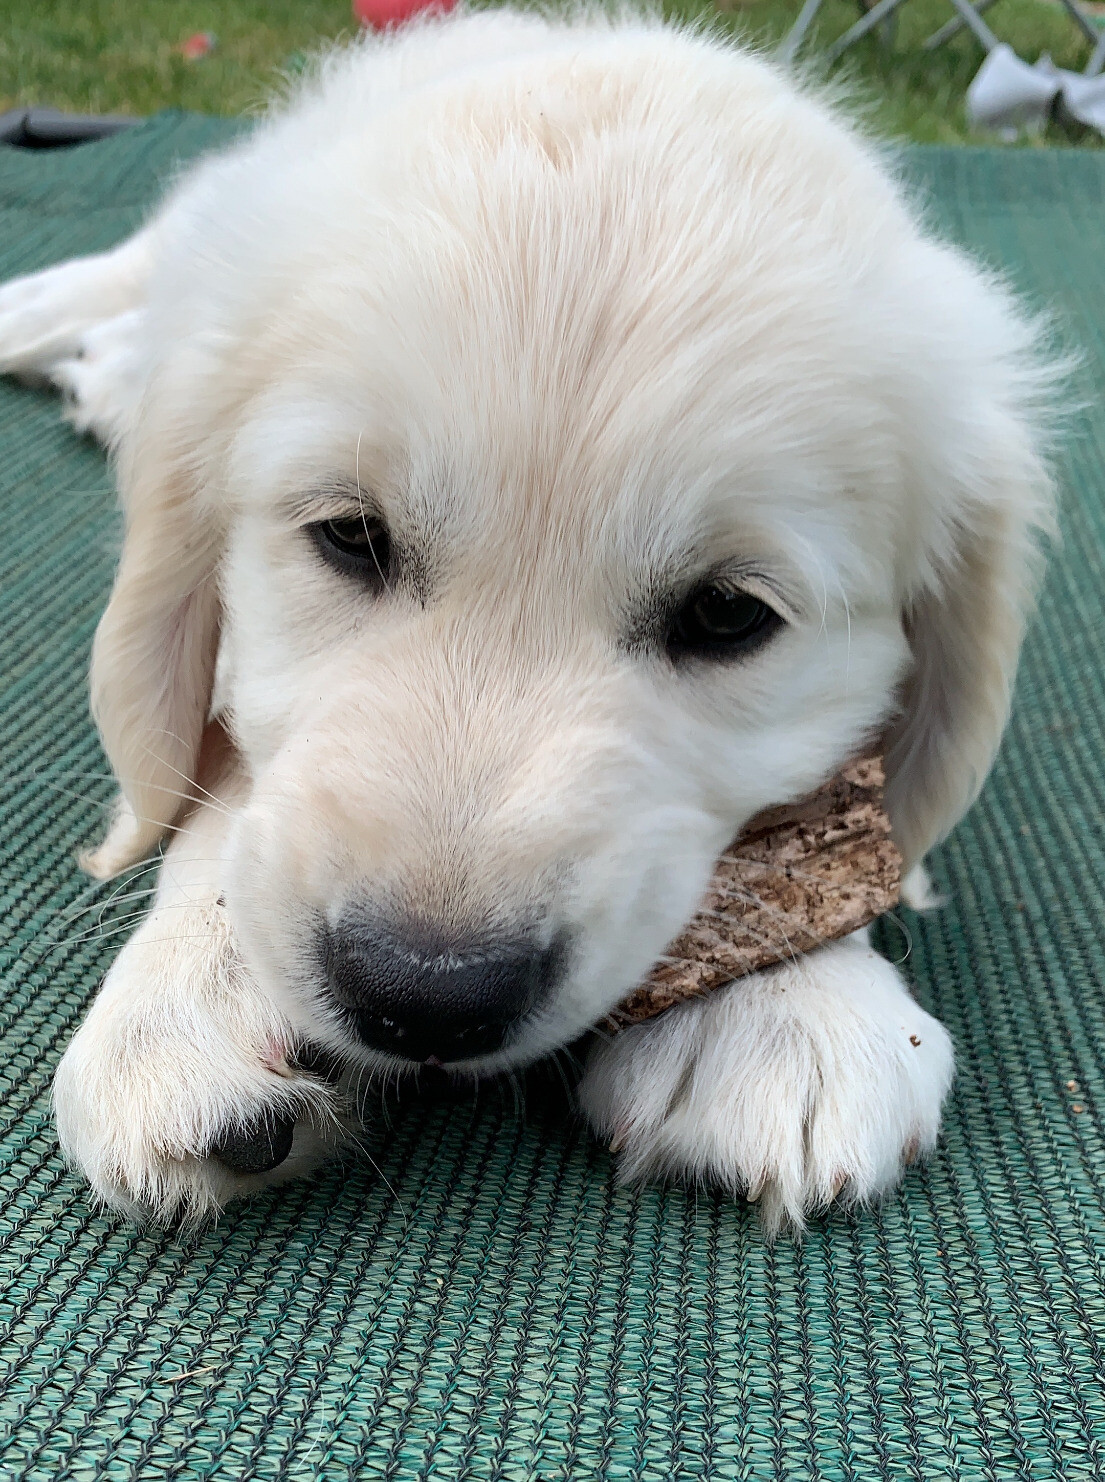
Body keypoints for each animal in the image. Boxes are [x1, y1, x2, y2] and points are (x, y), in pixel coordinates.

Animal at [0, 5, 1048, 1233]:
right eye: (349, 536)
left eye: (727, 614)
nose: (423, 994)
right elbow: (220, 767)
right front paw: (195, 983)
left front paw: (789, 1000)